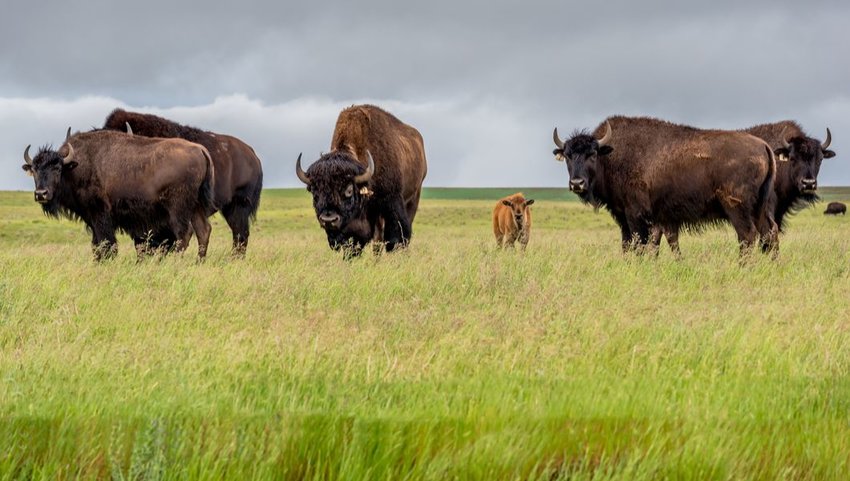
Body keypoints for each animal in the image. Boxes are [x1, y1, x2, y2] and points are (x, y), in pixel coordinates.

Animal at [21, 128, 215, 258]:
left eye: (57, 168)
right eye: (35, 170)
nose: (41, 194)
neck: (76, 166)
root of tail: (200, 149)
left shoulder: (100, 215)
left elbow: (106, 243)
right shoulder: (93, 220)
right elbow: (96, 244)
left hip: (178, 208)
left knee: (184, 233)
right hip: (196, 205)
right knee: (203, 231)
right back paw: (198, 262)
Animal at [296, 104, 428, 255]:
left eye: (349, 190)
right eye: (314, 192)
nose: (328, 219)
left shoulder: (391, 201)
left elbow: (396, 236)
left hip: (414, 195)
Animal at [548, 116, 776, 255]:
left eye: (592, 154)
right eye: (568, 155)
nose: (577, 183)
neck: (612, 156)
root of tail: (763, 146)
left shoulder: (636, 216)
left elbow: (640, 245)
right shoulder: (629, 217)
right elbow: (631, 245)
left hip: (736, 208)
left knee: (747, 236)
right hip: (760, 208)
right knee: (769, 233)